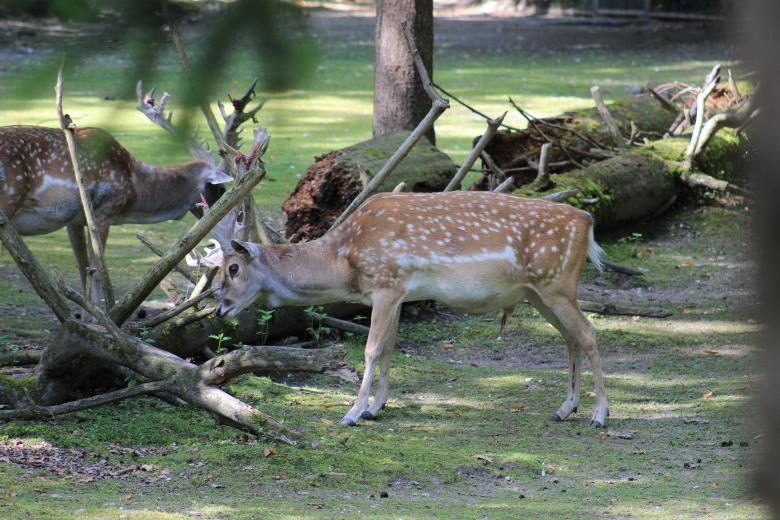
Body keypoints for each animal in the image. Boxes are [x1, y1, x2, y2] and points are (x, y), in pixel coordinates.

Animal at [0, 125, 232, 303]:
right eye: (220, 188)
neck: (135, 189)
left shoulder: (73, 220)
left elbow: (83, 269)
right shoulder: (104, 211)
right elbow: (97, 274)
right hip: (8, 200)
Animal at [203, 191, 609, 428]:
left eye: (233, 268)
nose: (220, 308)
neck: (345, 261)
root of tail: (588, 223)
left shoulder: (386, 282)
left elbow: (370, 349)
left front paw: (352, 413)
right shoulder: (397, 292)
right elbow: (389, 347)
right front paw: (375, 407)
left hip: (556, 283)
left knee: (589, 334)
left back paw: (600, 415)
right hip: (538, 292)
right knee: (571, 338)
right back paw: (565, 409)